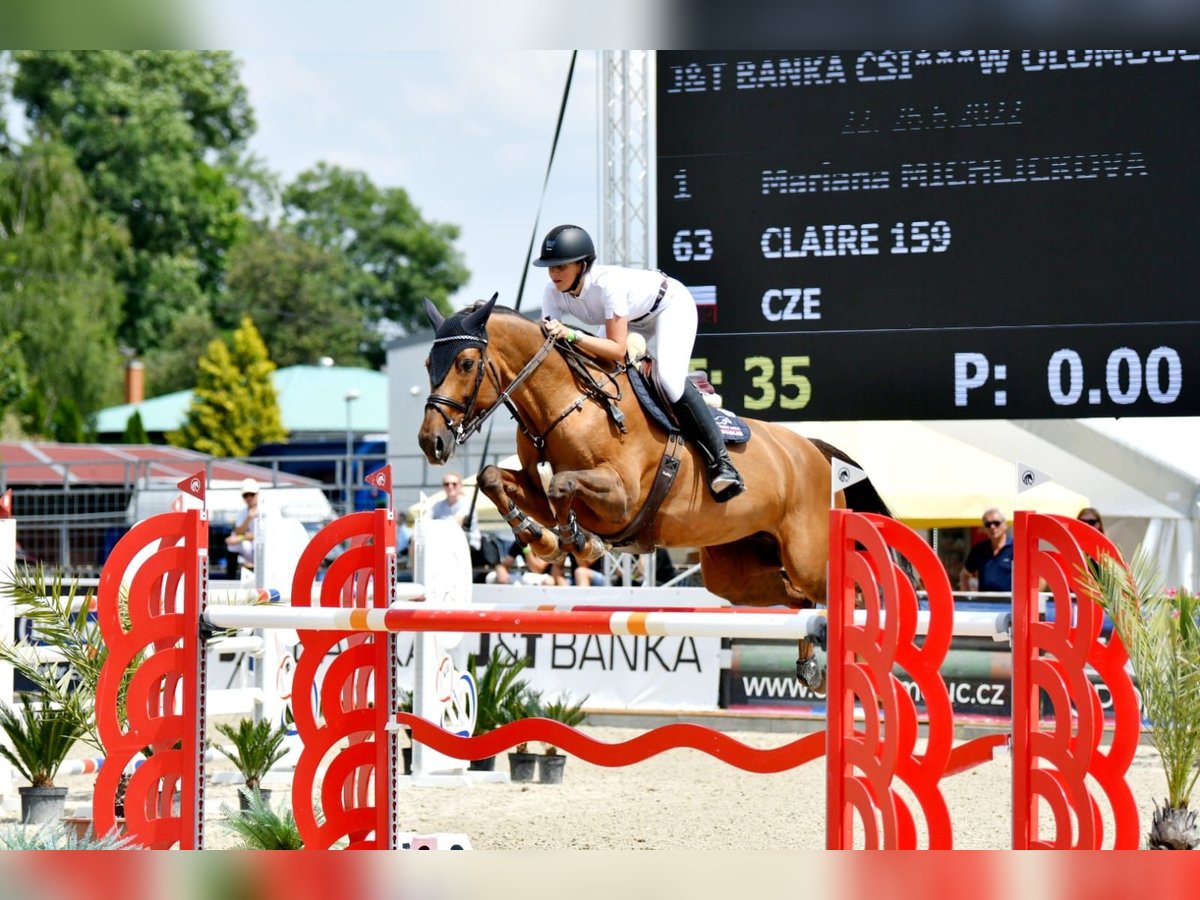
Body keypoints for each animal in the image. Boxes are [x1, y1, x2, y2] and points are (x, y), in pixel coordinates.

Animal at [417, 297, 897, 691]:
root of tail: (814, 450)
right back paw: (812, 668)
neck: (567, 403)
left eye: (464, 363)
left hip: (806, 555)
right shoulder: (534, 489)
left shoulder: (622, 497)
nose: (430, 442)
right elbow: (494, 478)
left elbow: (562, 485)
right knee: (799, 602)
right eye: (426, 364)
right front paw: (542, 538)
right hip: (735, 573)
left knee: (846, 594)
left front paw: (575, 542)